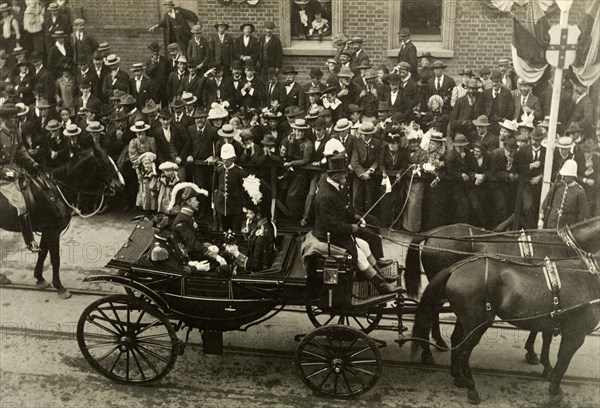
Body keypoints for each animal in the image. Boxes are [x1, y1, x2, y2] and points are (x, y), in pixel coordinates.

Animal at [412, 220, 600, 402]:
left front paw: (538, 359)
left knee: (452, 336)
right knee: (446, 331)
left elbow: (543, 333)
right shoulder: (572, 330)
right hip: (474, 321)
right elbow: (557, 354)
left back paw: (455, 373)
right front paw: (546, 371)